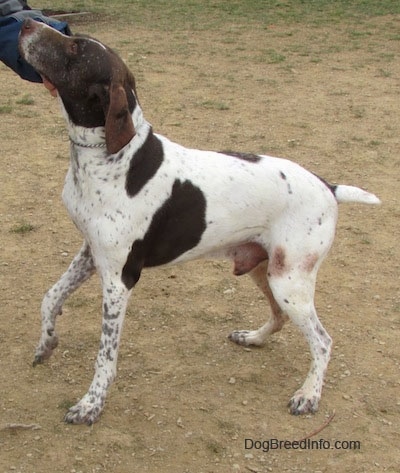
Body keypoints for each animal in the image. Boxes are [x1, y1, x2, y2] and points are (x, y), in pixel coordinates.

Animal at [19, 19, 382, 424]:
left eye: (76, 49)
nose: (27, 22)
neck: (112, 158)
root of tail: (328, 186)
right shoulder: (91, 253)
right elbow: (50, 298)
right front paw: (47, 343)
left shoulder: (119, 279)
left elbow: (106, 356)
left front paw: (91, 404)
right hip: (265, 269)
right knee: (279, 318)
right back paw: (253, 339)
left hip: (290, 281)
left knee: (322, 341)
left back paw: (308, 395)